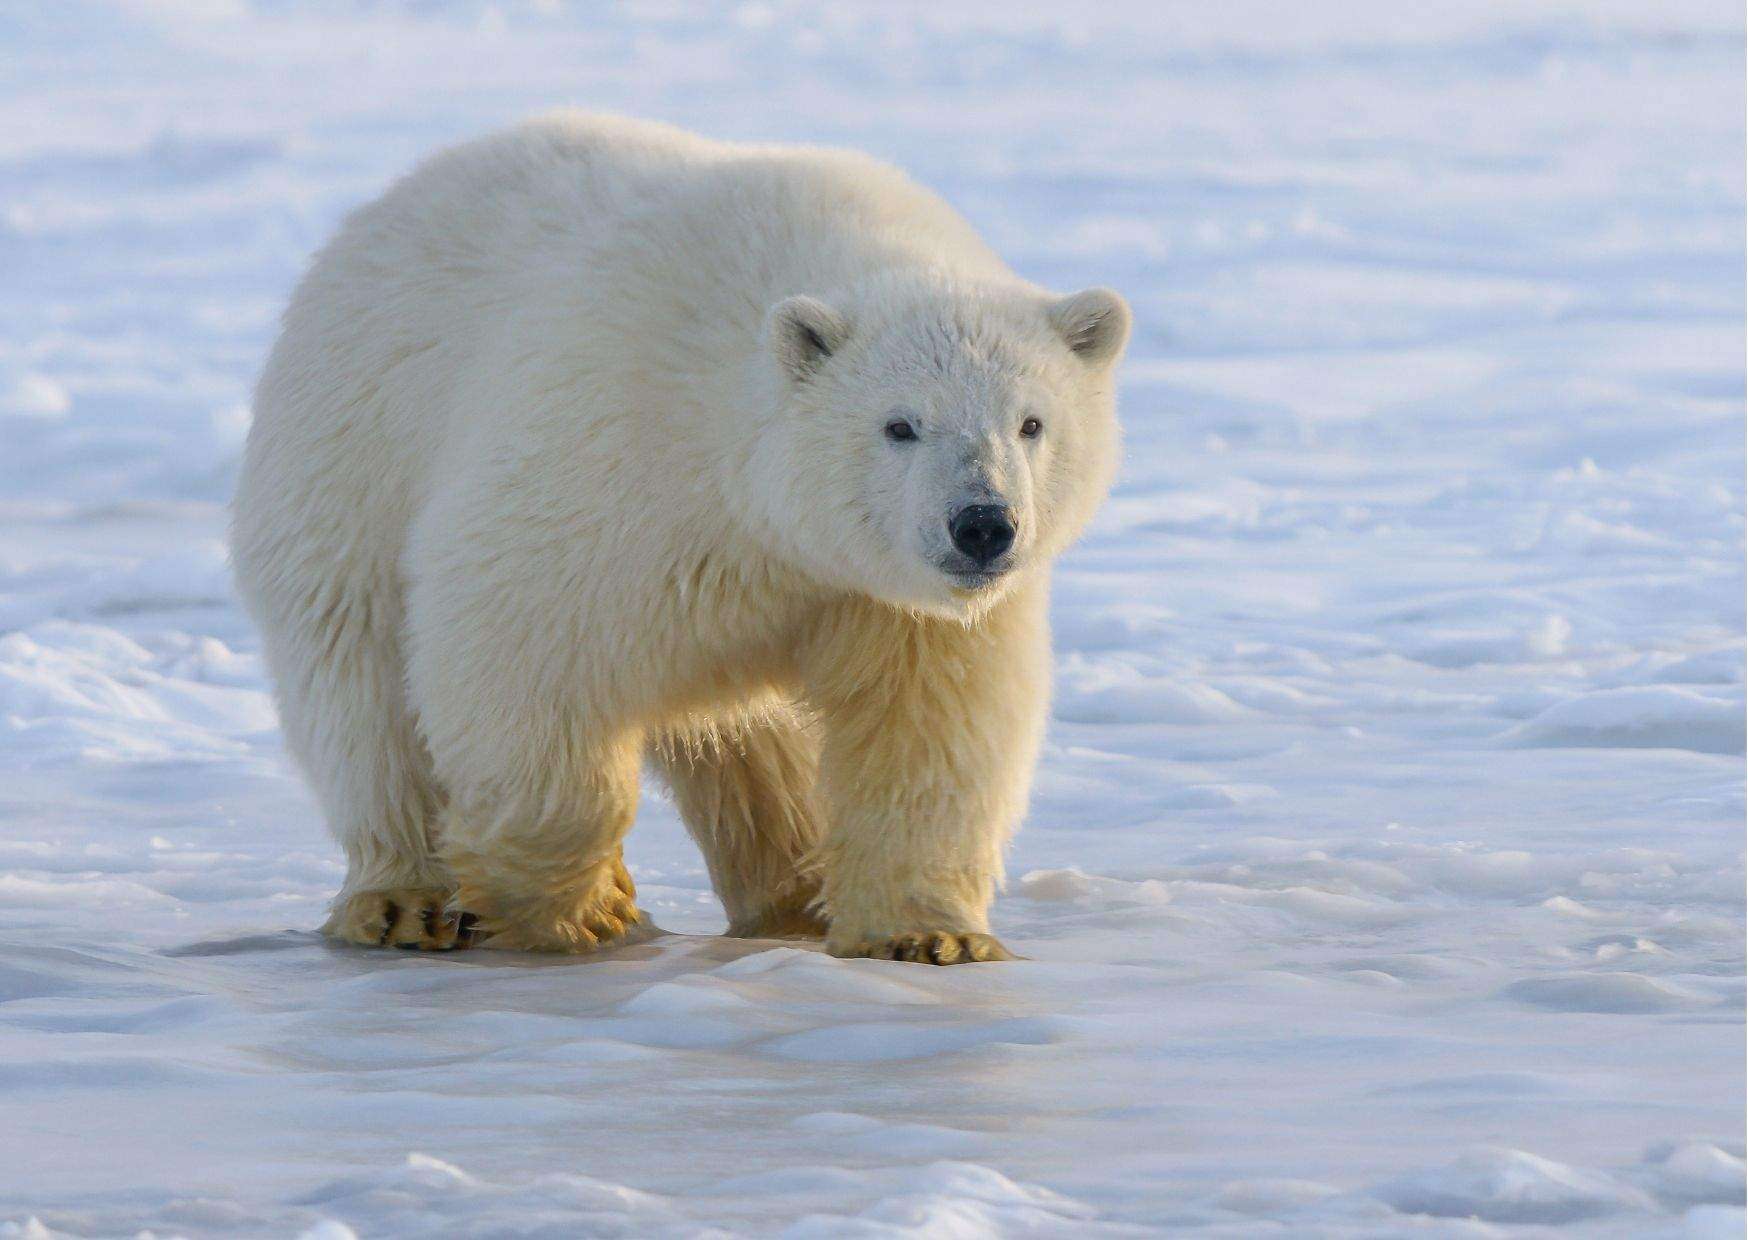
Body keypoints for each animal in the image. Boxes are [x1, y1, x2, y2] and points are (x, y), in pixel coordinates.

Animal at [230, 112, 1129, 964]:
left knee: (756, 751)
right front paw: (583, 905)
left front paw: (929, 936)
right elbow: (516, 647)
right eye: (899, 424)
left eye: (1032, 423)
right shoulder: (605, 461)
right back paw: (403, 900)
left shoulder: (882, 598)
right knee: (363, 691)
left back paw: (792, 893)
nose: (982, 525)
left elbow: (928, 728)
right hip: (351, 459)